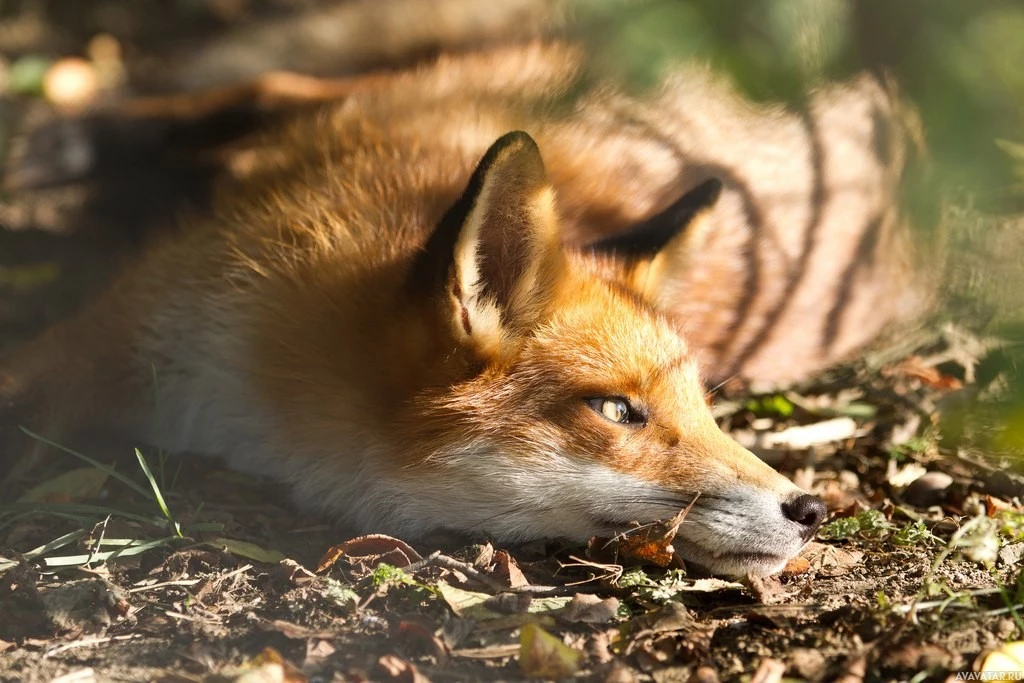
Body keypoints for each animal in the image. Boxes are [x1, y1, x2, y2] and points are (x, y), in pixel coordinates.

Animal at [0, 42, 929, 577]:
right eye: (617, 410)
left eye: (708, 407)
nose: (813, 509)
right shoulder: (124, 321)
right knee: (274, 86)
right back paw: (73, 136)